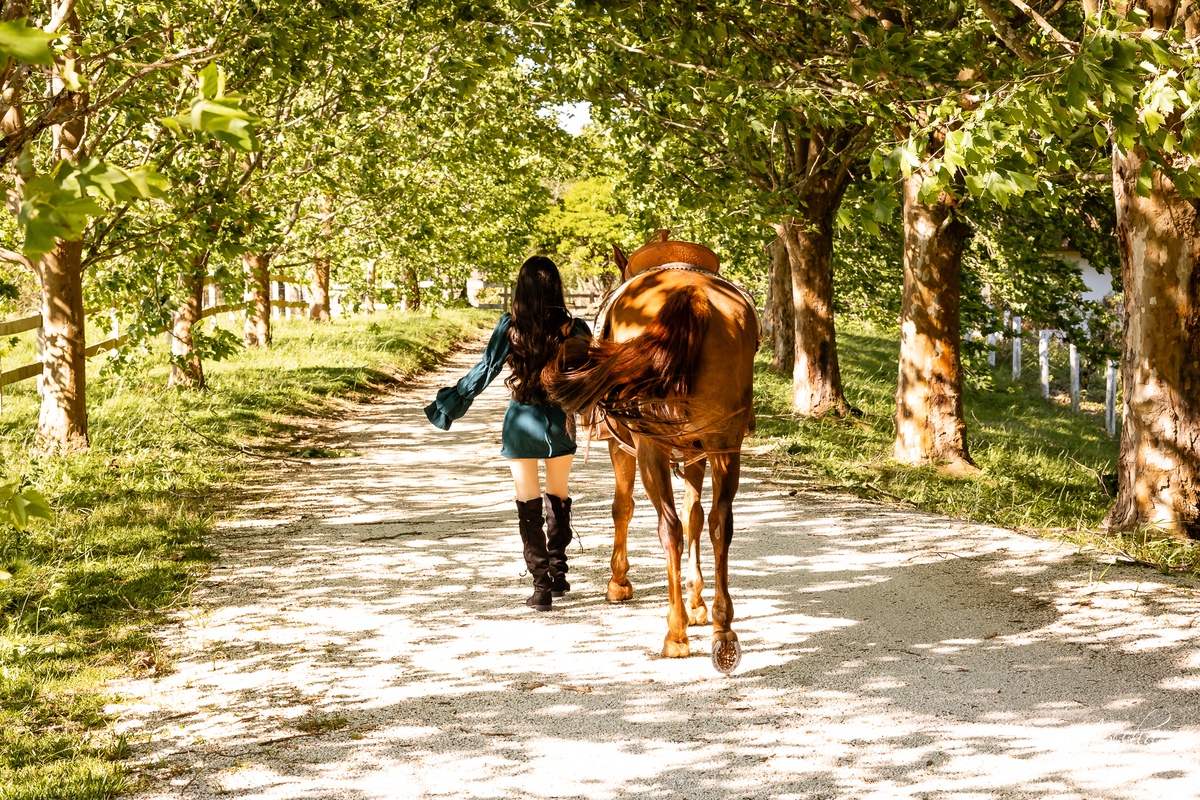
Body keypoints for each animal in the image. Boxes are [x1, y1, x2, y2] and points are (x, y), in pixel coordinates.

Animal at [542, 238, 759, 673]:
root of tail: (691, 293)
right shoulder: (695, 454)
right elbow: (696, 518)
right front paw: (698, 604)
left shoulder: (622, 448)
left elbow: (623, 508)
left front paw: (619, 583)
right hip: (725, 443)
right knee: (718, 524)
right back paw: (723, 630)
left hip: (650, 448)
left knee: (668, 528)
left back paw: (675, 633)